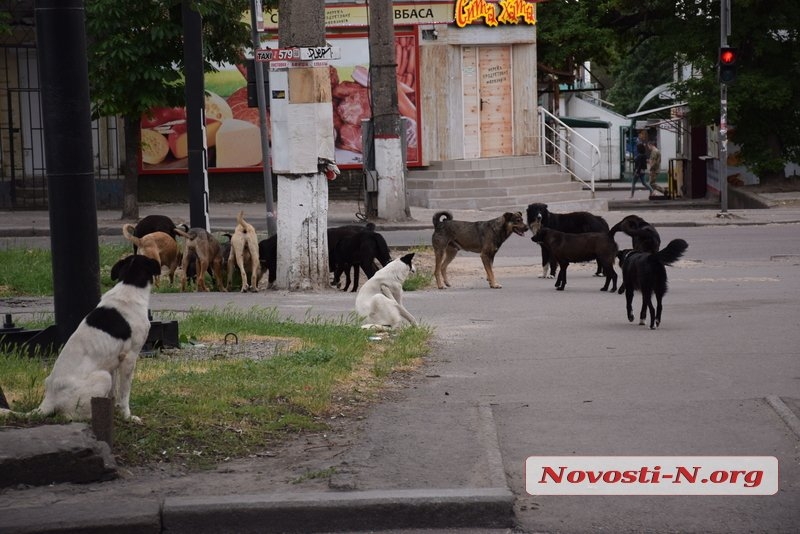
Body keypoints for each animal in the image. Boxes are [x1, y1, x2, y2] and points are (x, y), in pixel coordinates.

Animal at [0, 255, 161, 422]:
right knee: (72, 415)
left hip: (105, 372)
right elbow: (124, 395)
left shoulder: (116, 361)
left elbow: (114, 395)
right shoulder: (129, 358)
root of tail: (50, 399)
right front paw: (127, 416)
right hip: (103, 376)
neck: (129, 286)